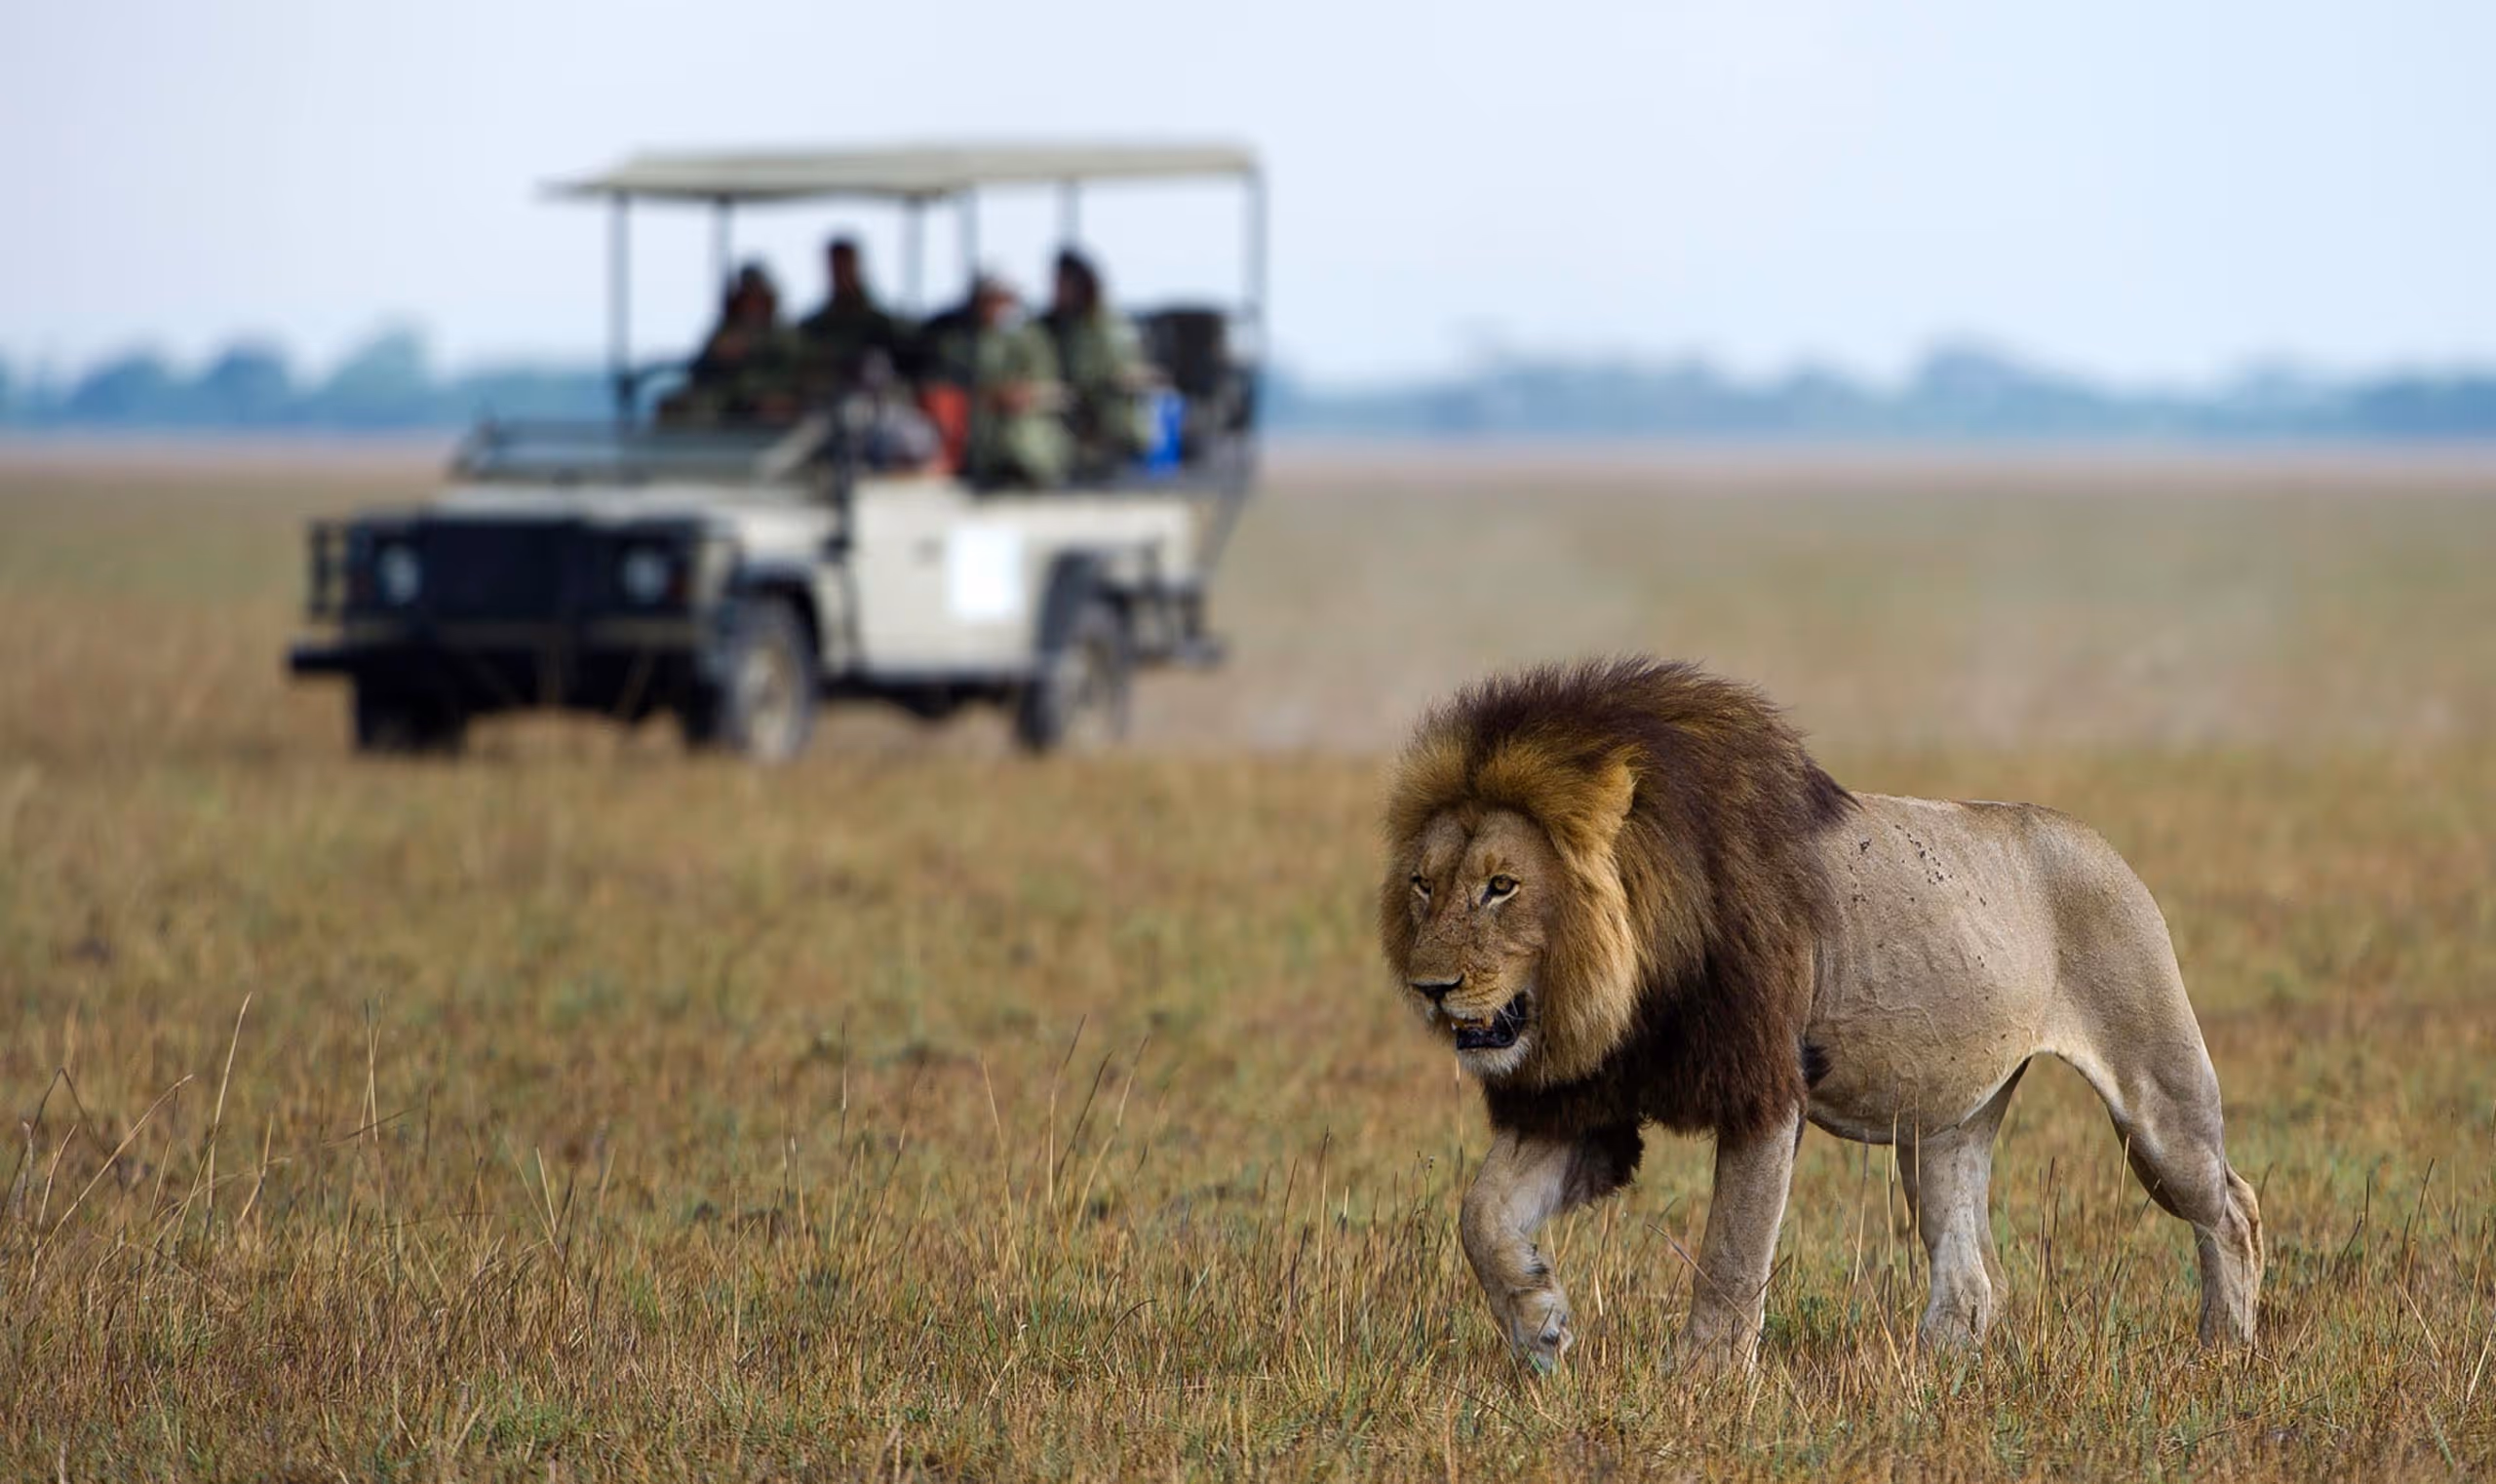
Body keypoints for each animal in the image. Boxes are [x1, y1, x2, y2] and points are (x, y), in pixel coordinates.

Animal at [1380, 657, 2262, 1370]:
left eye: (1502, 886)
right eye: (1424, 884)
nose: (1429, 987)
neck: (1628, 984)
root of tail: (2096, 841)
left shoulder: (1766, 1089)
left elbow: (1731, 1256)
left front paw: (1701, 1385)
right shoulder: (1589, 1100)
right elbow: (1480, 1214)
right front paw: (1540, 1325)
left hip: (2158, 1104)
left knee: (2232, 1208)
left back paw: (2223, 1346)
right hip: (1942, 1126)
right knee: (1973, 1274)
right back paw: (1929, 1373)